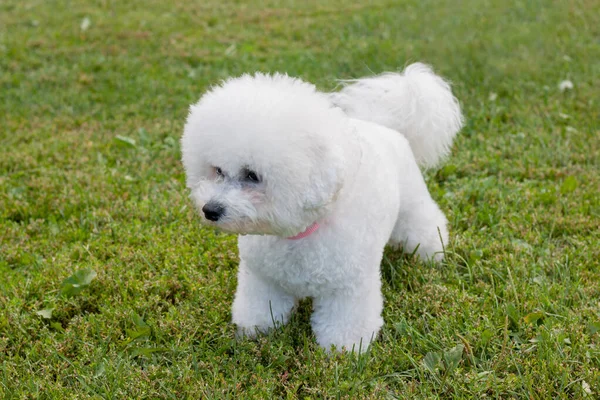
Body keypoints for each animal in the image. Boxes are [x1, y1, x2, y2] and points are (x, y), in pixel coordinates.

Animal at [180, 63, 462, 354]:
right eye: (217, 170)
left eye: (252, 175)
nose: (209, 210)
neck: (299, 234)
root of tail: (386, 126)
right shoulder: (262, 278)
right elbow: (260, 307)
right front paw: (255, 331)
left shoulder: (348, 287)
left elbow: (345, 321)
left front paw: (345, 349)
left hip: (411, 203)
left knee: (424, 223)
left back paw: (432, 254)